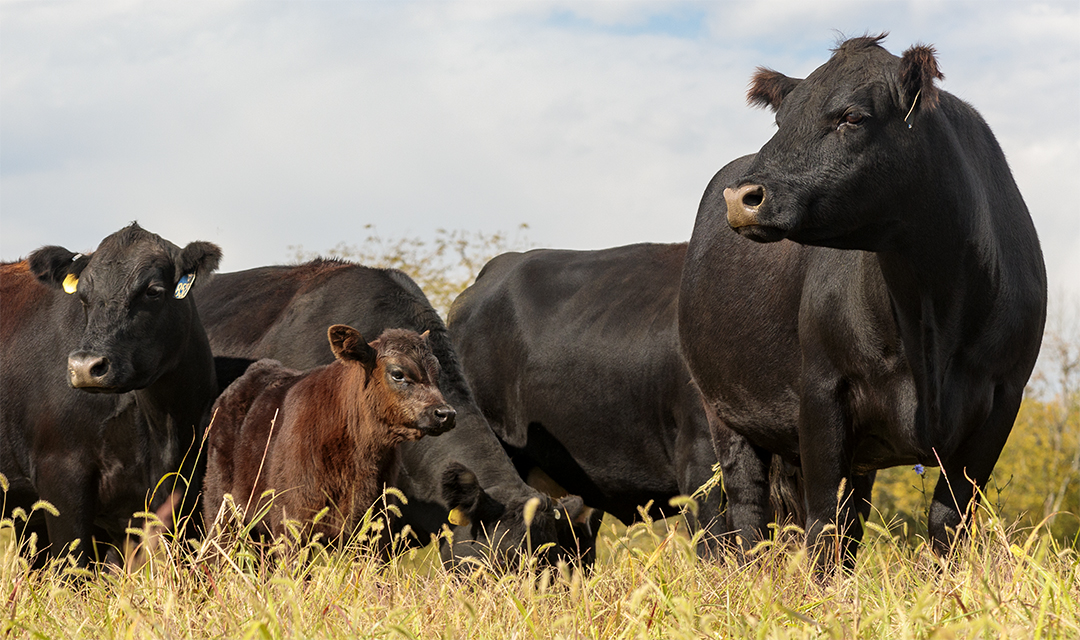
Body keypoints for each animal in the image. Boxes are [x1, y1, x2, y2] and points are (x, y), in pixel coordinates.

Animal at [202, 325, 455, 543]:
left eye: (438, 372)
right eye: (398, 373)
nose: (445, 413)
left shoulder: (375, 526)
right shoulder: (290, 520)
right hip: (221, 513)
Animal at [678, 35, 1047, 568]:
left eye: (852, 116)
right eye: (781, 120)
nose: (742, 196)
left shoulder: (1003, 399)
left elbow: (948, 520)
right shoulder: (821, 388)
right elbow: (824, 521)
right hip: (722, 411)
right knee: (748, 511)